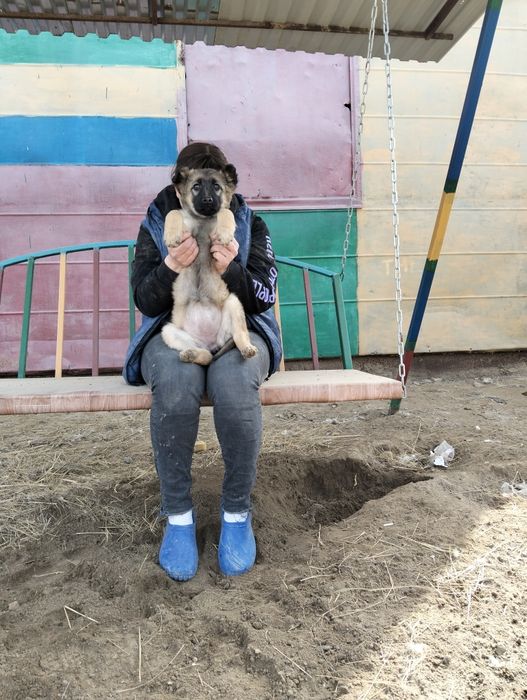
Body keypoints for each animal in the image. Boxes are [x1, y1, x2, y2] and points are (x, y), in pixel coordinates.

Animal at [161, 166, 258, 365]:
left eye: (216, 187)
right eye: (196, 187)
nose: (207, 200)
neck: (203, 219)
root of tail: (210, 342)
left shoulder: (219, 216)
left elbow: (225, 212)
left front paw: (225, 233)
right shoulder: (185, 223)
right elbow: (173, 212)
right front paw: (171, 235)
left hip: (233, 303)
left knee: (239, 335)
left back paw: (247, 348)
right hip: (169, 331)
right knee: (206, 356)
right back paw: (192, 354)